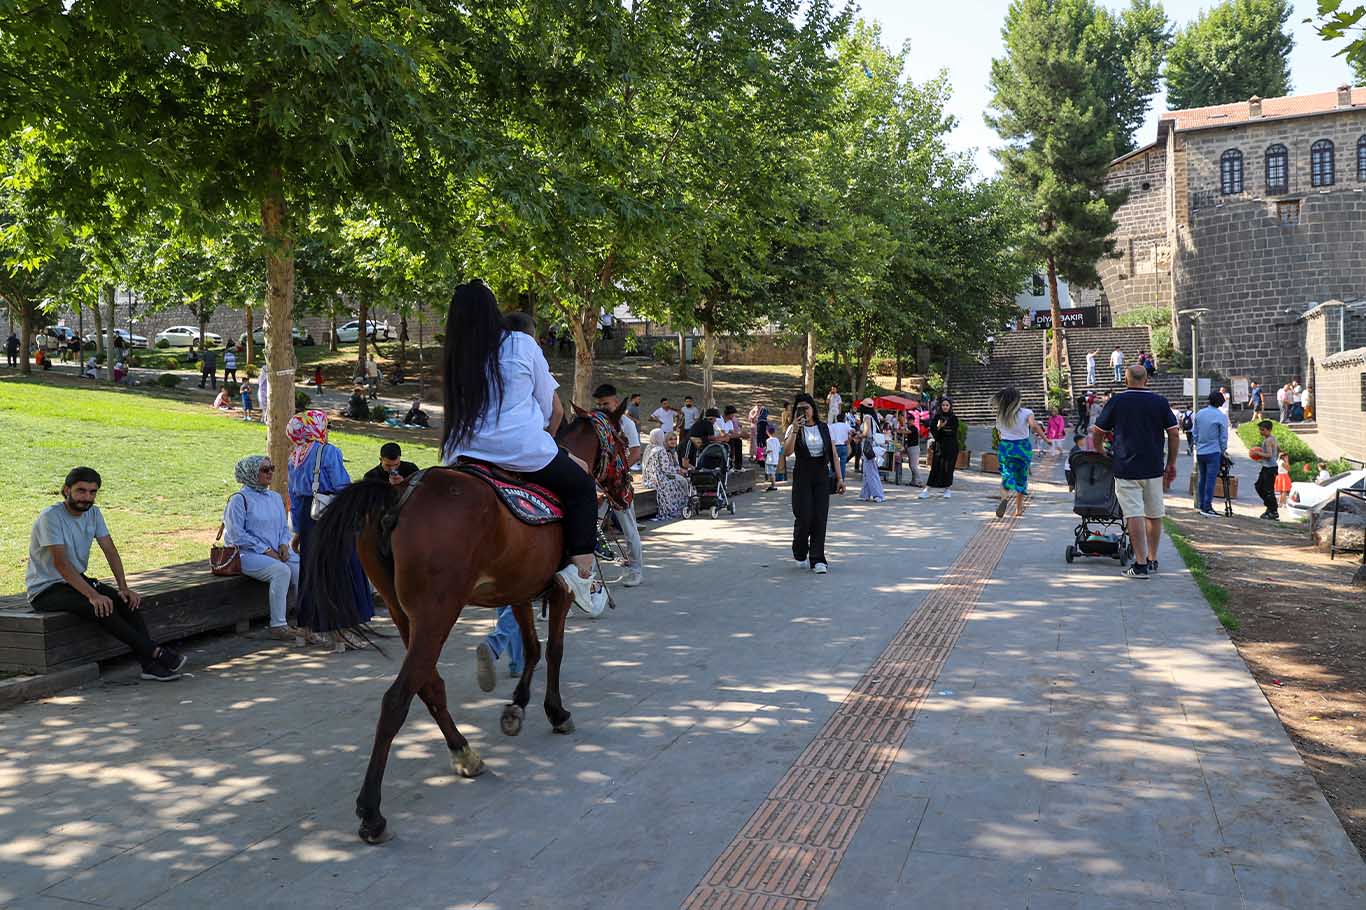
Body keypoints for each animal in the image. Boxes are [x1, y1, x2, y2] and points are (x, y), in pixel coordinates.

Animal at [301, 401, 631, 841]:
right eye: (625, 438)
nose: (627, 489)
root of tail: (397, 495)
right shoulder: (558, 592)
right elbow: (555, 651)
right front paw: (556, 711)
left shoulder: (520, 590)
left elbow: (531, 648)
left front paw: (516, 707)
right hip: (438, 611)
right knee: (397, 698)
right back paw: (372, 812)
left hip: (405, 613)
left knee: (429, 685)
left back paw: (464, 751)